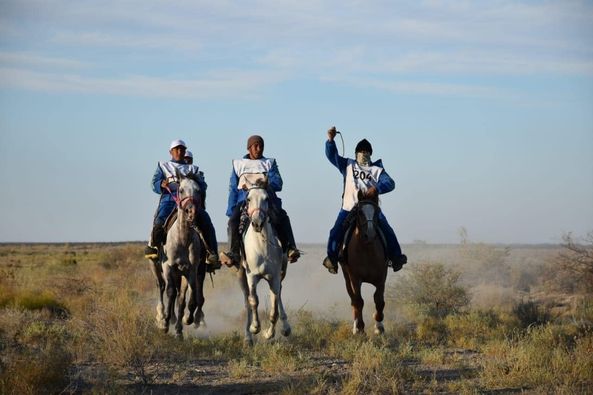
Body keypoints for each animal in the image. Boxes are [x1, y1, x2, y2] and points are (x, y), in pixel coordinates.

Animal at [338, 194, 388, 334]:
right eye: (359, 212)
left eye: (377, 211)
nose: (369, 234)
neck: (367, 250)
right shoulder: (355, 279)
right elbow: (358, 301)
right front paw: (360, 328)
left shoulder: (381, 277)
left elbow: (379, 301)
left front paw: (379, 326)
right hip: (347, 278)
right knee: (353, 300)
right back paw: (355, 326)